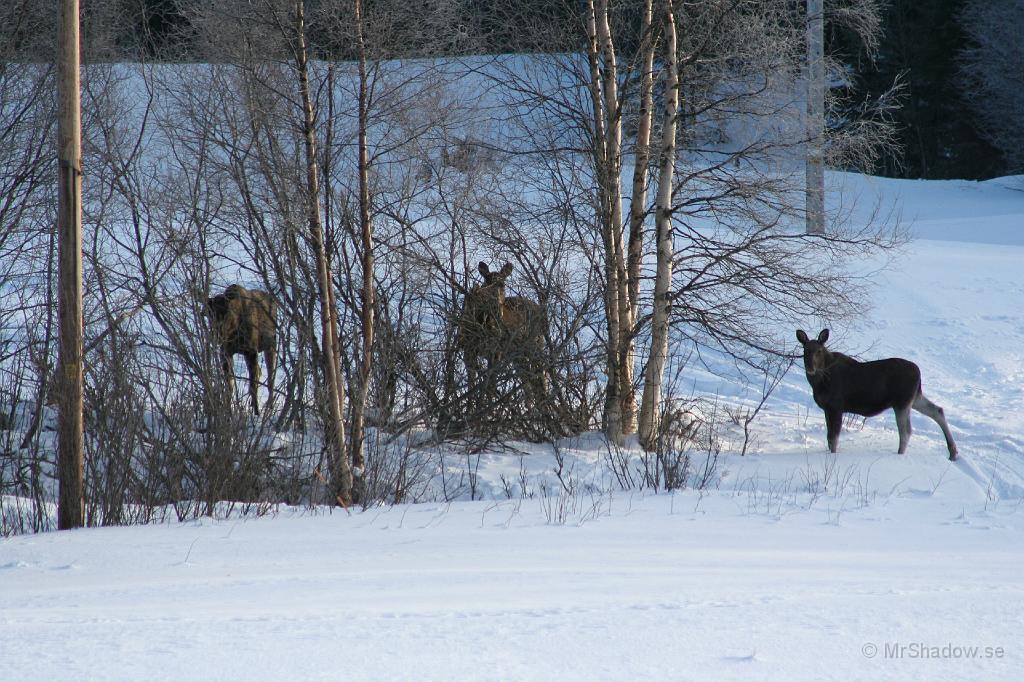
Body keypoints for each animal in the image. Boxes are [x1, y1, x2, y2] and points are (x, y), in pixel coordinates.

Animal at [206, 282, 276, 413]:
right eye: (210, 315)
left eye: (227, 313)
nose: (217, 335)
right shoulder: (226, 352)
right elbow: (229, 385)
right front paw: (228, 409)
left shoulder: (251, 351)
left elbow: (252, 385)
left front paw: (256, 412)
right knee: (260, 371)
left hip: (271, 345)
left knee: (270, 376)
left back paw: (269, 406)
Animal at [458, 260, 548, 409]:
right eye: (487, 280)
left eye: (503, 284)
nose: (496, 305)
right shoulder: (468, 350)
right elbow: (472, 385)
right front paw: (471, 408)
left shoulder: (496, 352)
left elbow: (490, 386)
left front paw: (488, 409)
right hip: (517, 356)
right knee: (528, 382)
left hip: (534, 346)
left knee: (540, 378)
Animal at [794, 327, 954, 458]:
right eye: (805, 350)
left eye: (819, 351)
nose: (810, 368)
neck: (820, 382)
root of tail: (919, 373)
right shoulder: (827, 409)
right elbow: (829, 439)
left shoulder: (836, 407)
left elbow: (833, 439)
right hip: (914, 398)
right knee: (937, 410)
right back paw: (953, 452)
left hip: (902, 402)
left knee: (906, 430)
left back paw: (899, 454)